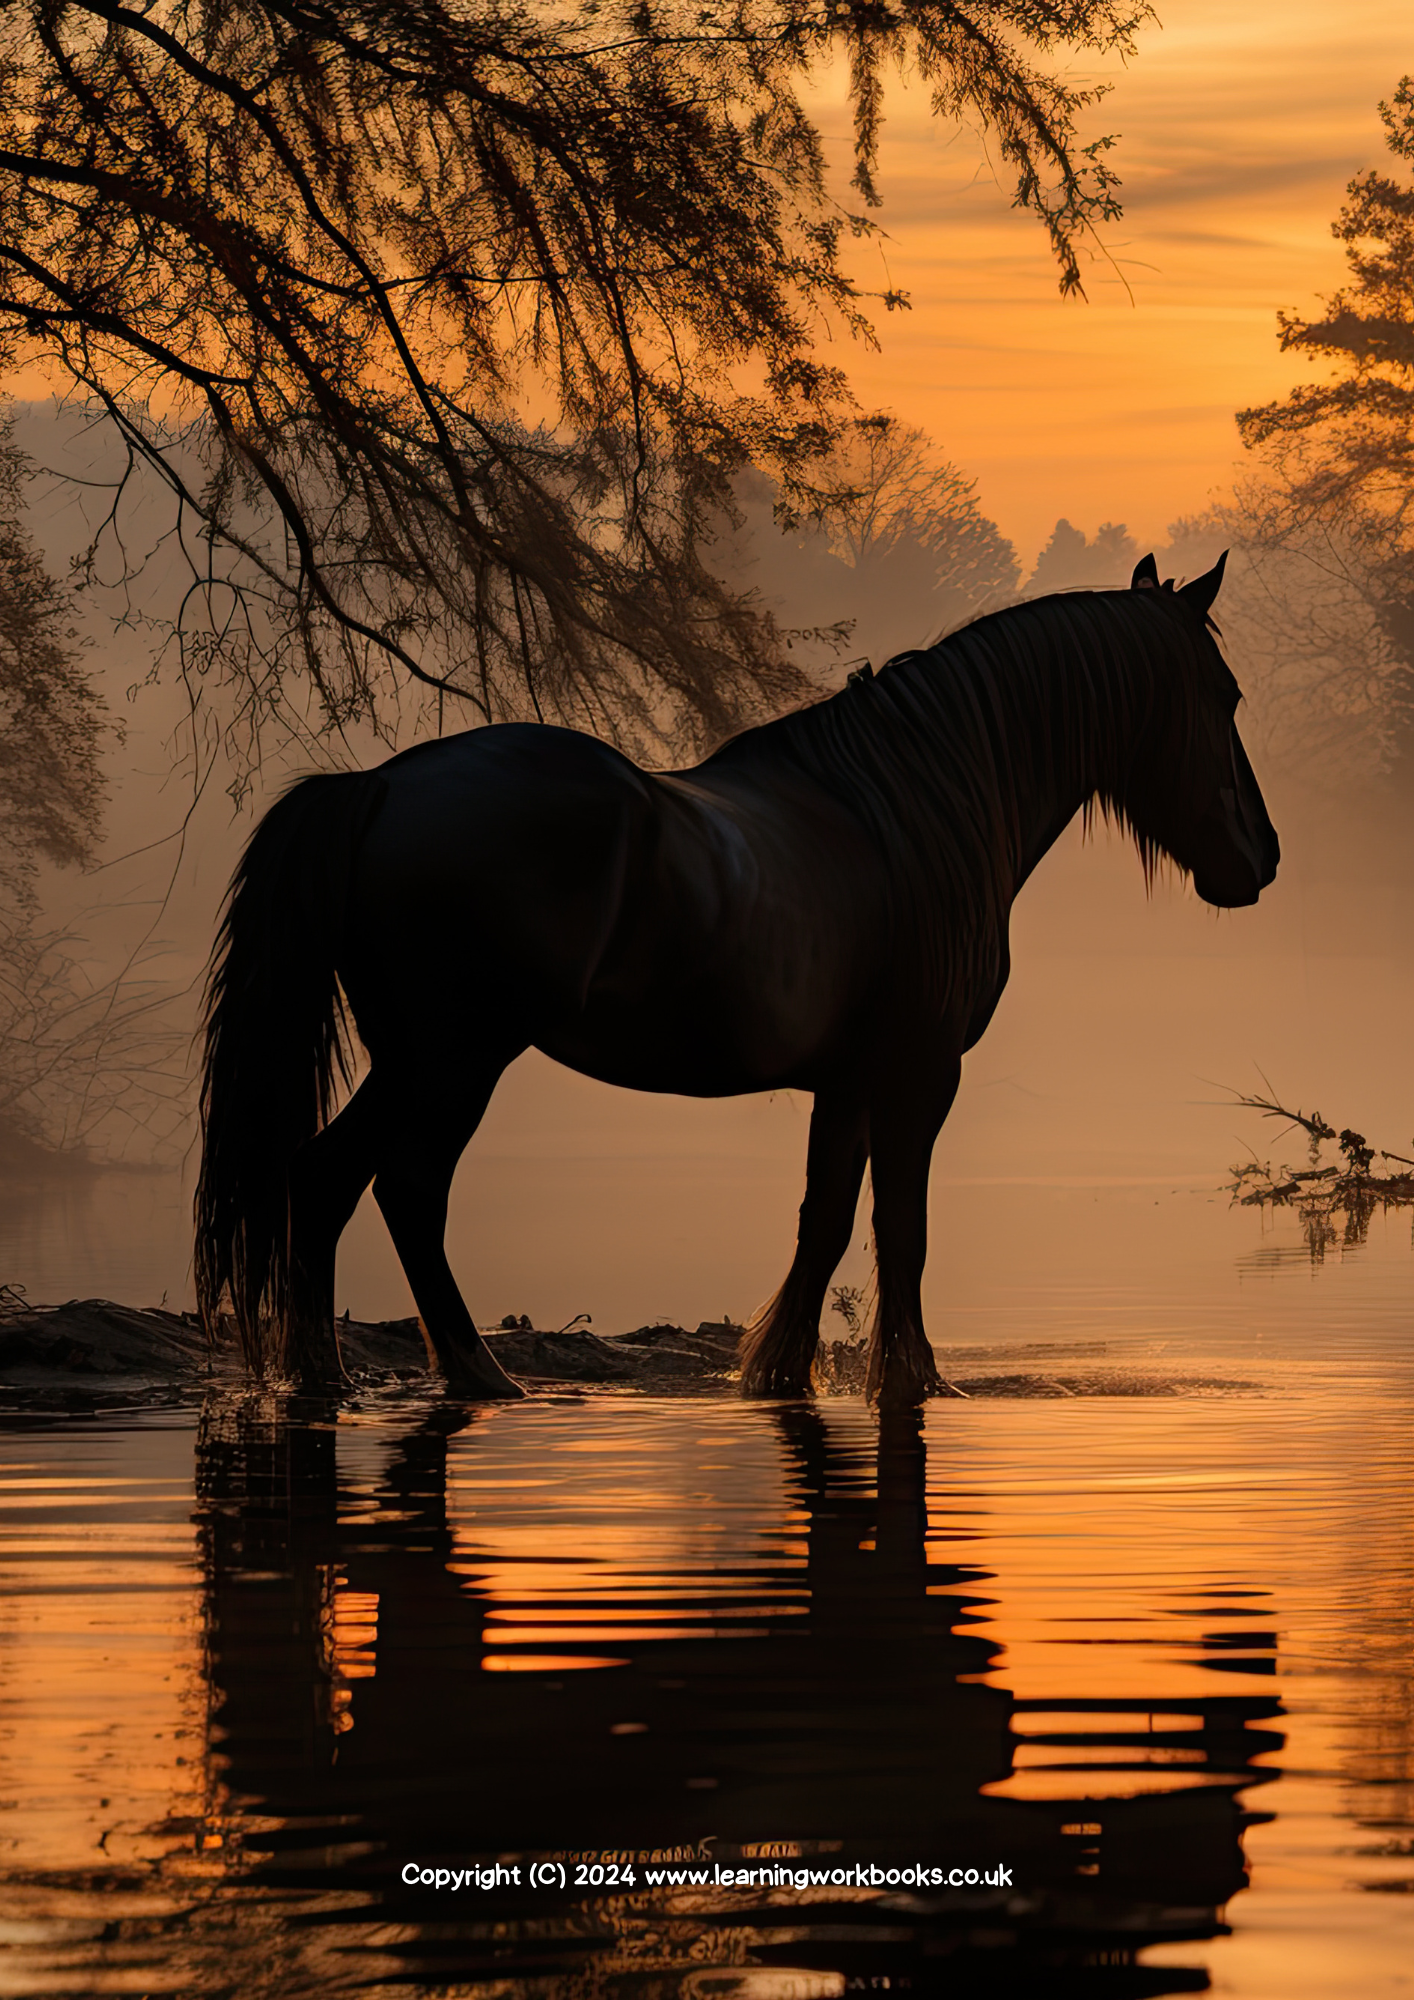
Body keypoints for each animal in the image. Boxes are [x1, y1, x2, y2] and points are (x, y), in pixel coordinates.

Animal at [195, 552, 1279, 1406]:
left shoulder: (847, 1081)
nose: (1261, 856)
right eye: (1223, 694)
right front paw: (913, 1378)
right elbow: (903, 1227)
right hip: (452, 1059)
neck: (914, 808)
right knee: (382, 1183)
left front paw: (780, 1372)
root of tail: (378, 786)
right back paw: (446, 1374)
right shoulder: (919, 1073)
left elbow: (824, 1224)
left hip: (419, 1058)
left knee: (344, 1184)